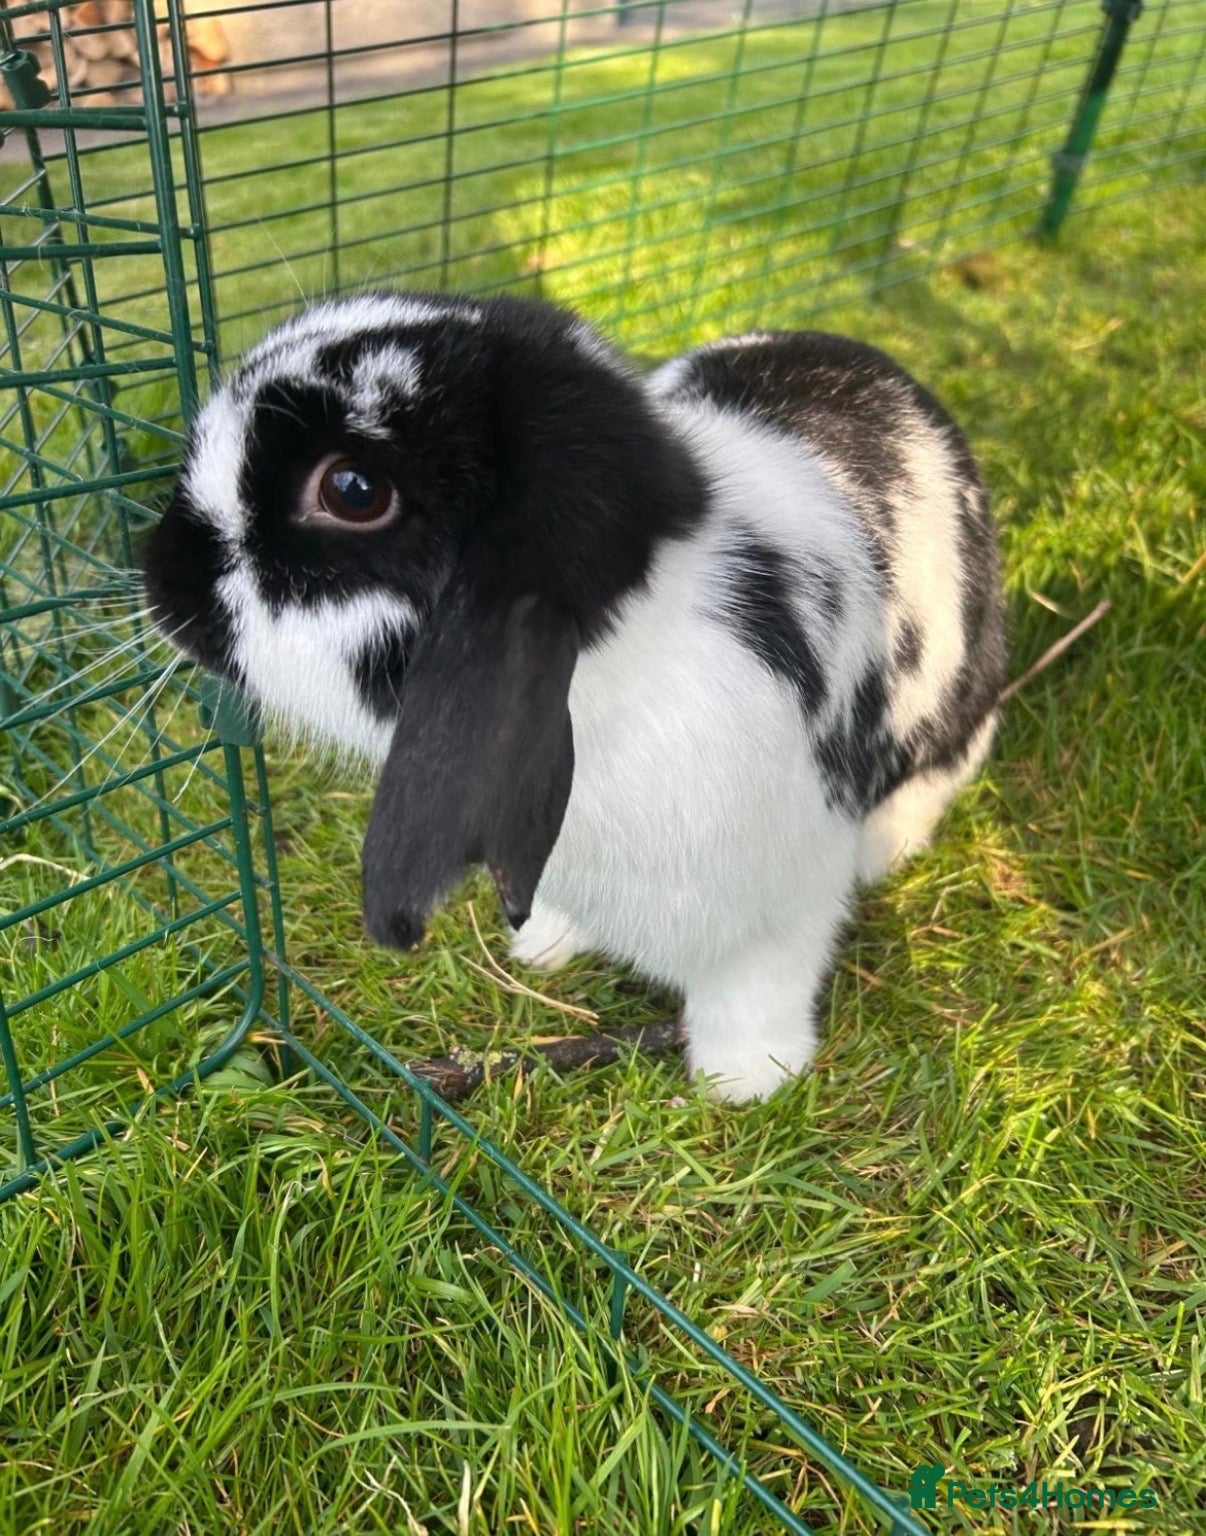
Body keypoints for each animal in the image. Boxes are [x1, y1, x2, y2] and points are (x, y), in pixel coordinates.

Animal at [143, 291, 1005, 1103]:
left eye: (353, 490)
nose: (158, 572)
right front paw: (542, 946)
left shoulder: (782, 899)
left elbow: (755, 989)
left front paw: (747, 1082)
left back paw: (884, 851)